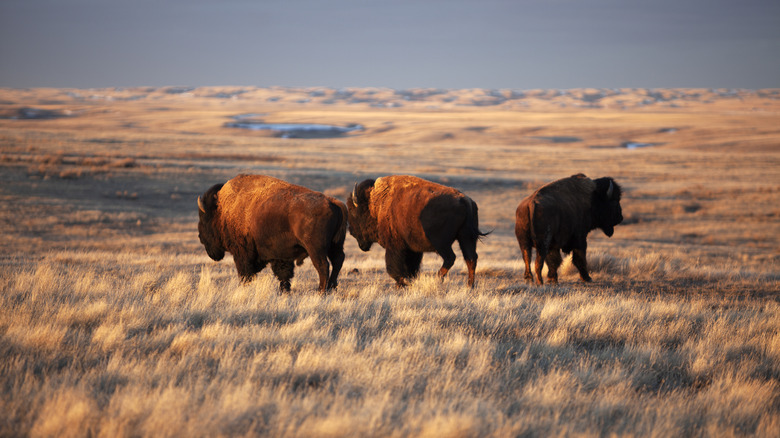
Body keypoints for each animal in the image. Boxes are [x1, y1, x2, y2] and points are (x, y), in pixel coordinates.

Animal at [197, 174, 347, 292]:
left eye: (204, 220)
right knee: (337, 261)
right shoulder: (280, 254)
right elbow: (283, 273)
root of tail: (333, 202)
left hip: (316, 249)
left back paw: (321, 291)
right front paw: (284, 290)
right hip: (336, 244)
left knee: (323, 266)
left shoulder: (242, 253)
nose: (200, 237)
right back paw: (331, 287)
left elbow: (245, 273)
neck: (222, 211)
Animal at [347, 175, 488, 287]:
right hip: (466, 238)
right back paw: (469, 286)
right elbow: (411, 266)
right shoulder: (412, 248)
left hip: (442, 243)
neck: (376, 205)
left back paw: (437, 279)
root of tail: (465, 200)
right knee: (470, 258)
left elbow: (393, 266)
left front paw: (403, 282)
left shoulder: (395, 246)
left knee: (451, 258)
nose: (351, 231)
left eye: (354, 212)